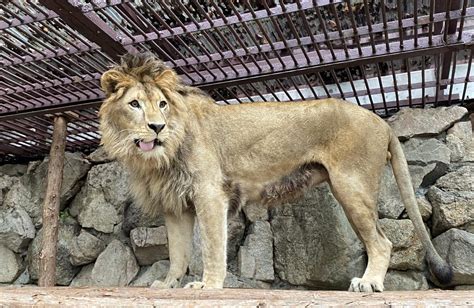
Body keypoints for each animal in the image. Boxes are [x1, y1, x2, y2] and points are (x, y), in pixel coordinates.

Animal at [99, 53, 452, 292]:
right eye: (134, 104)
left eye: (162, 104)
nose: (157, 127)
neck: (158, 156)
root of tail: (381, 121)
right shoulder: (175, 205)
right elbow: (177, 251)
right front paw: (169, 284)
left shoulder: (209, 193)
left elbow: (212, 246)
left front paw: (208, 285)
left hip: (351, 186)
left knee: (382, 242)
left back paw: (369, 284)